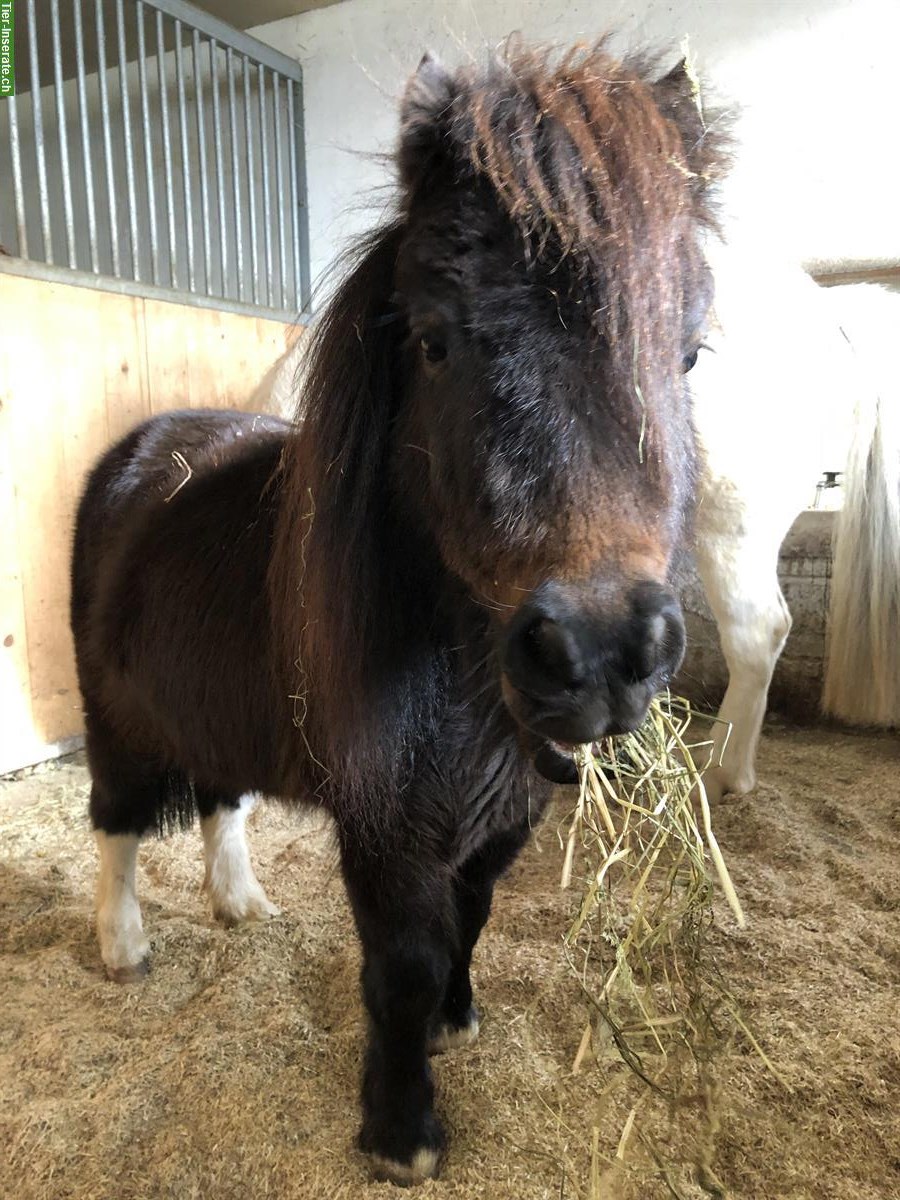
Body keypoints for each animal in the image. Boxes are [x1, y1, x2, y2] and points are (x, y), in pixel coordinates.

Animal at [74, 42, 729, 1185]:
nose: (600, 653)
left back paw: (240, 903)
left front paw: (455, 1021)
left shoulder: (503, 814)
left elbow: (471, 920)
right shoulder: (388, 825)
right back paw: (125, 948)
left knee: (219, 802)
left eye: (687, 351)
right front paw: (400, 1127)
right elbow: (406, 963)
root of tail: (139, 454)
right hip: (113, 718)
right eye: (429, 339)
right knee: (115, 822)